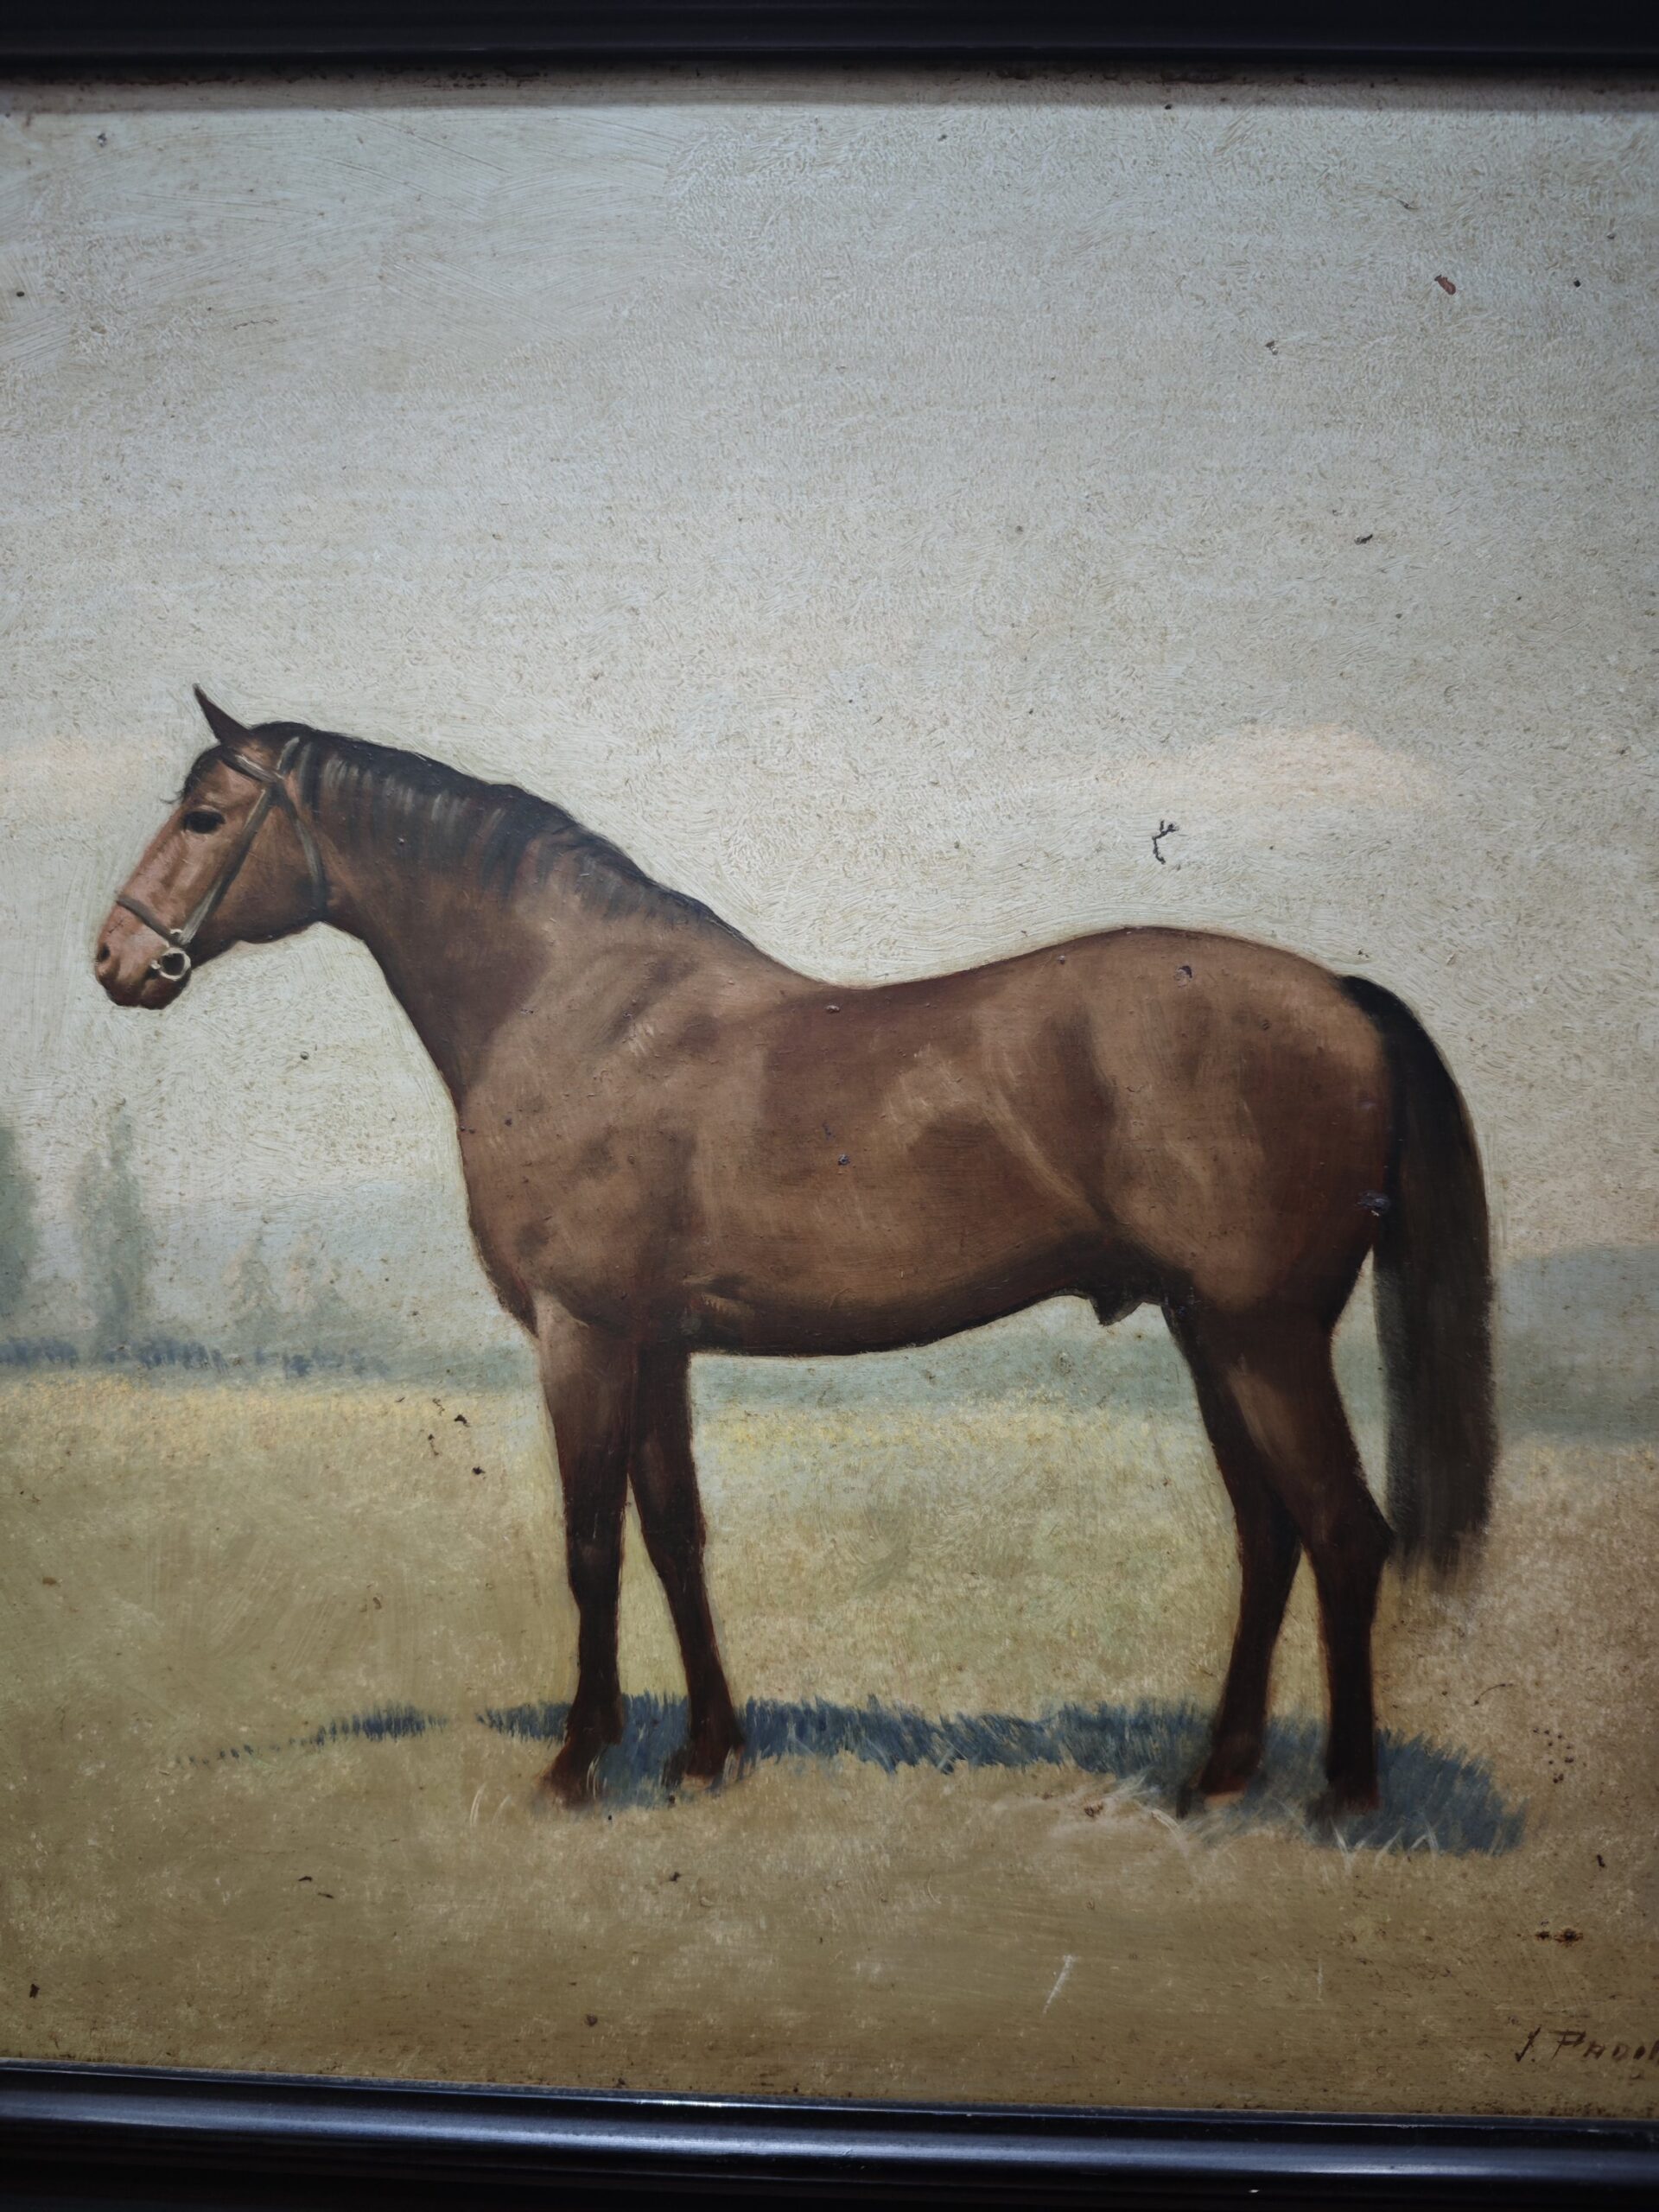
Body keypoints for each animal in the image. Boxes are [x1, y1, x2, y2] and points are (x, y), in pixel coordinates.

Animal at [95, 690, 1495, 1818]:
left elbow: (590, 1541)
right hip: (1211, 1332)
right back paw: (1217, 1776)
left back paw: (1345, 1796)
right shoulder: (657, 1343)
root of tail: (1344, 996)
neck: (581, 1010)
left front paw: (578, 1763)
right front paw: (707, 1754)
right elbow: (675, 1532)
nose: (117, 960)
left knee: (1343, 1532)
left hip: (1265, 1336)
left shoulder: (583, 1333)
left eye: (209, 816)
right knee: (1268, 1536)